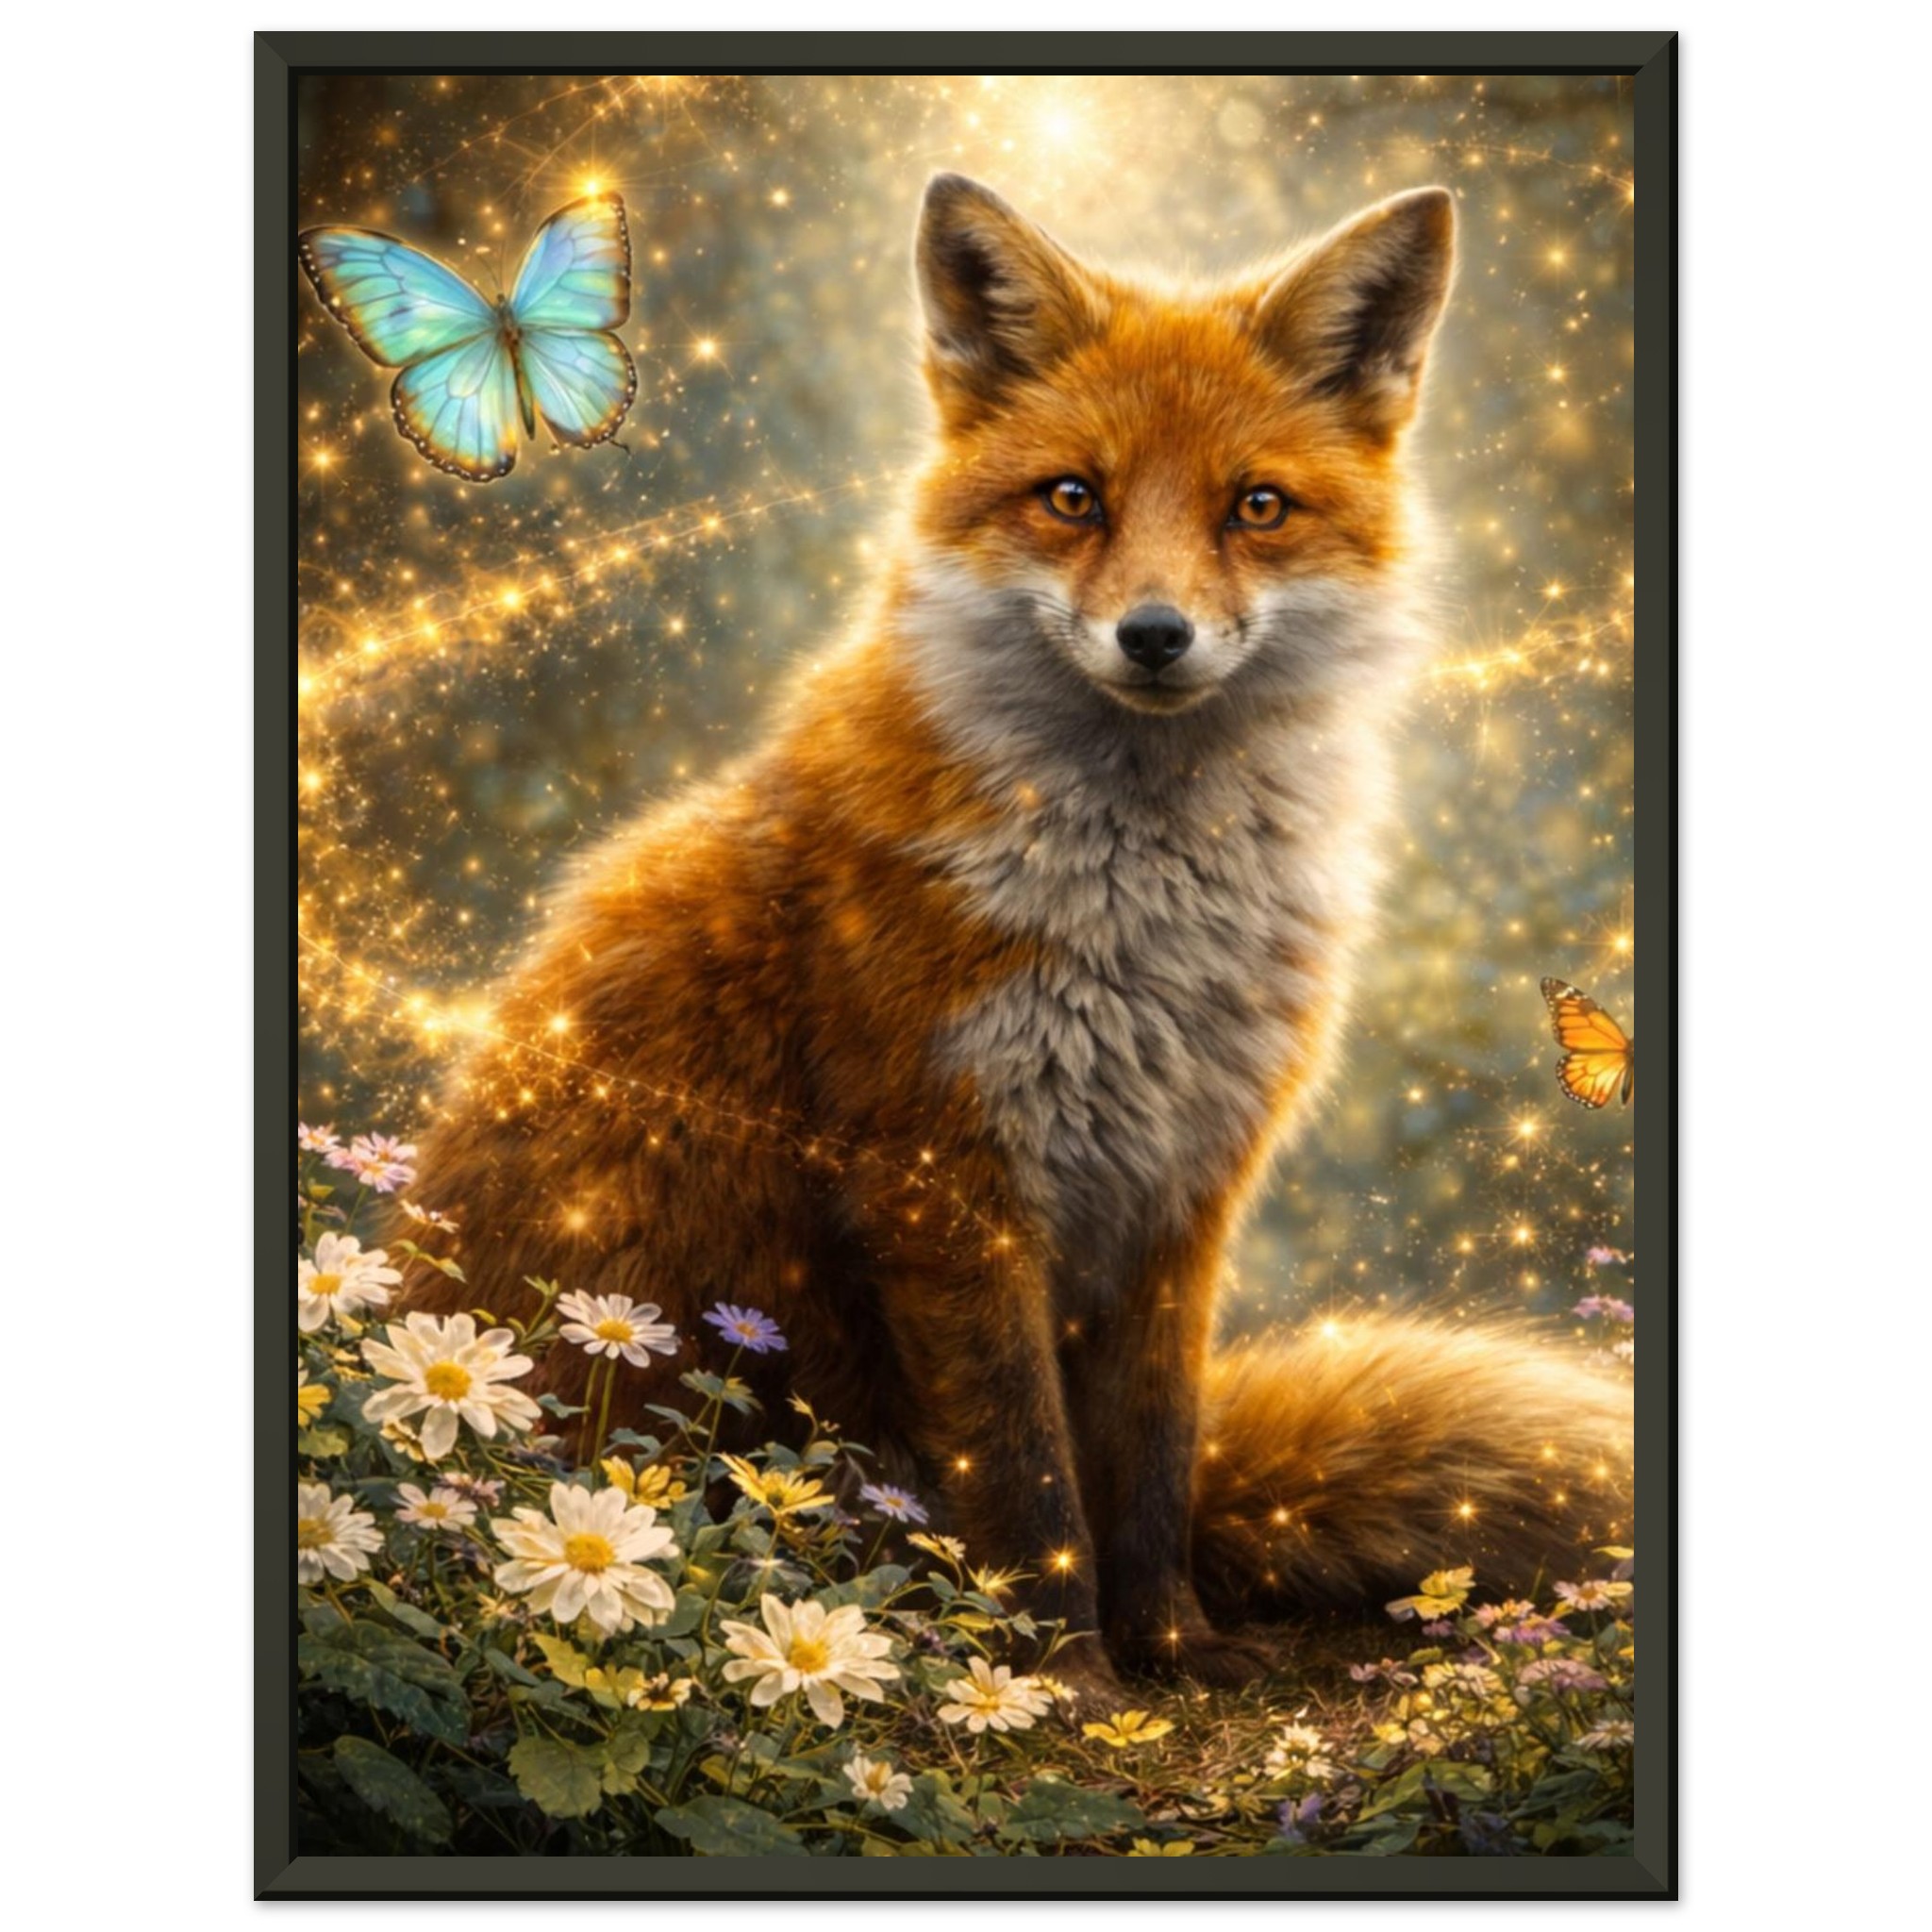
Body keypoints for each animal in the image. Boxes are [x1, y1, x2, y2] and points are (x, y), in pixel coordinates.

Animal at [404, 174, 1631, 1702]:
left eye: (1256, 507)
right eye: (1072, 498)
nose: (1154, 635)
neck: (1153, 922)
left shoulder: (1182, 1187)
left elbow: (1151, 1466)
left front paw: (1173, 1647)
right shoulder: (945, 1181)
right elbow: (1031, 1480)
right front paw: (1065, 1683)